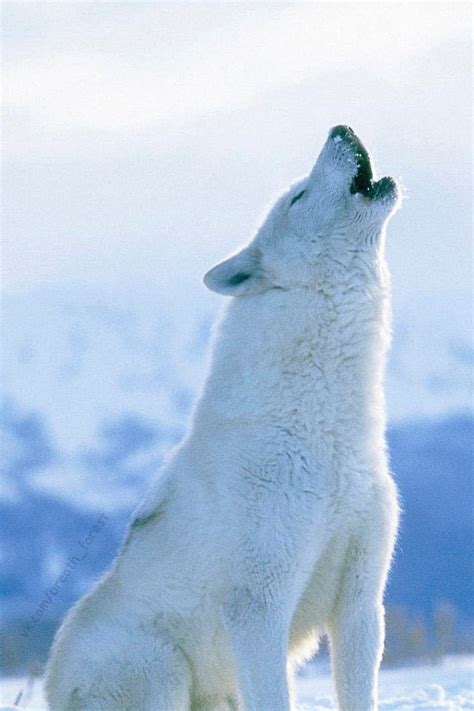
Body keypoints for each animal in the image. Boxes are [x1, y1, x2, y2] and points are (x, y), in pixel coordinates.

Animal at [45, 125, 401, 711]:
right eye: (298, 197)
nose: (341, 128)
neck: (323, 435)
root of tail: (51, 686)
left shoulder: (361, 603)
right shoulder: (259, 609)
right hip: (163, 669)